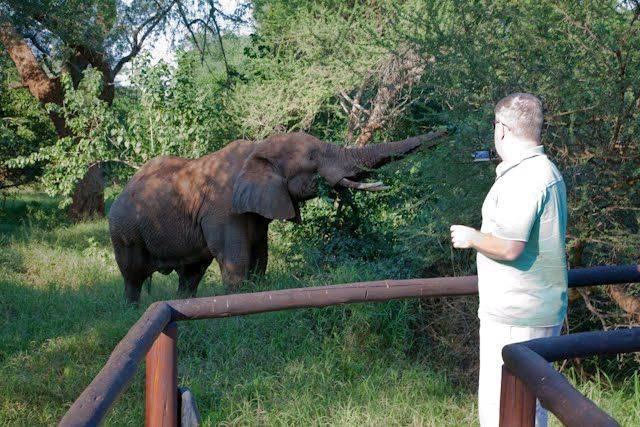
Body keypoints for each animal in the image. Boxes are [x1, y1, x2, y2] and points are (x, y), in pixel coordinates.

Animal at [108, 131, 444, 303]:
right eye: (312, 157)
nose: (444, 133)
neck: (258, 149)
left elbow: (260, 256)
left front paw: (257, 294)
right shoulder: (223, 208)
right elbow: (236, 258)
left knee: (191, 273)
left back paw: (183, 304)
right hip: (123, 231)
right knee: (133, 274)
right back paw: (133, 310)